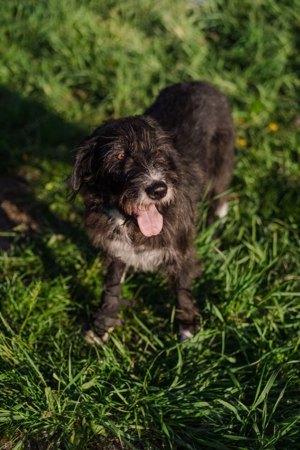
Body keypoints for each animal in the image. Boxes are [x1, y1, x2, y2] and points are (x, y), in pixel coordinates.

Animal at [70, 81, 234, 342]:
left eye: (158, 152)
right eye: (119, 155)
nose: (158, 189)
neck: (130, 224)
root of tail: (201, 82)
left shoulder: (180, 249)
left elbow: (182, 288)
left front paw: (188, 327)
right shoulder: (117, 248)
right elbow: (112, 285)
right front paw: (103, 323)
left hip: (221, 170)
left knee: (219, 205)